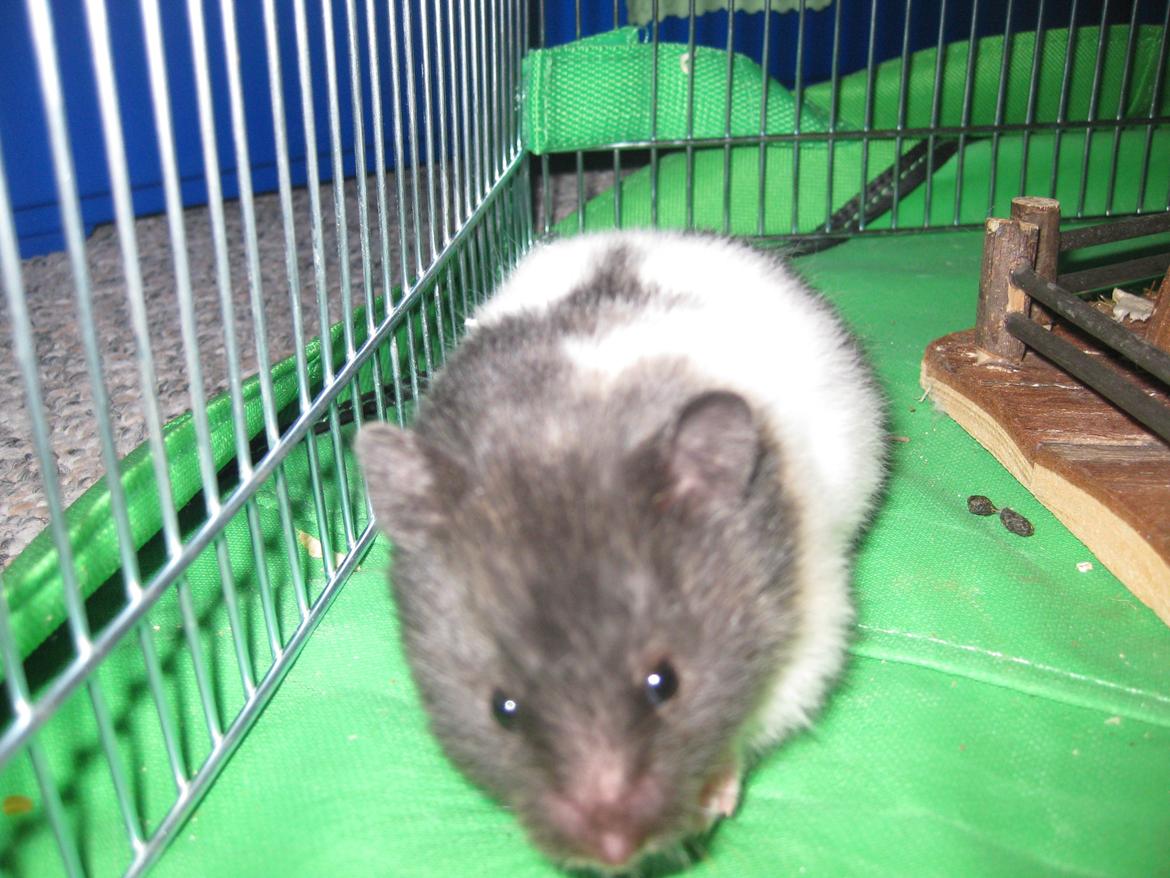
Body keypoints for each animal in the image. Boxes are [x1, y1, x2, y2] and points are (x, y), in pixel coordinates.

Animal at [356, 230, 886, 870]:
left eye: (665, 683)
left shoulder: (809, 634)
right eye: (502, 709)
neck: (561, 428)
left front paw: (714, 802)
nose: (612, 853)